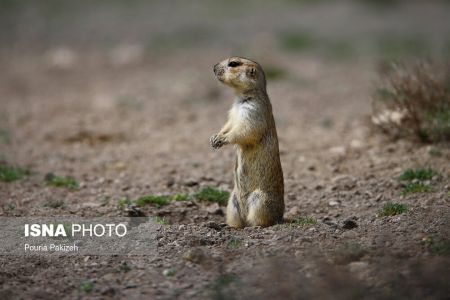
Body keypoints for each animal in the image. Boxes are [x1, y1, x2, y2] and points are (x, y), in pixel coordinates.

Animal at [210, 56, 284, 227]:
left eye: (234, 63)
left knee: (264, 220)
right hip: (232, 202)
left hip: (260, 200)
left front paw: (222, 139)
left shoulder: (253, 112)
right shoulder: (233, 113)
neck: (240, 97)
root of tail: (282, 216)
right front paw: (215, 137)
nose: (214, 67)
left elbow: (244, 131)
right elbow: (228, 125)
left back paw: (256, 226)